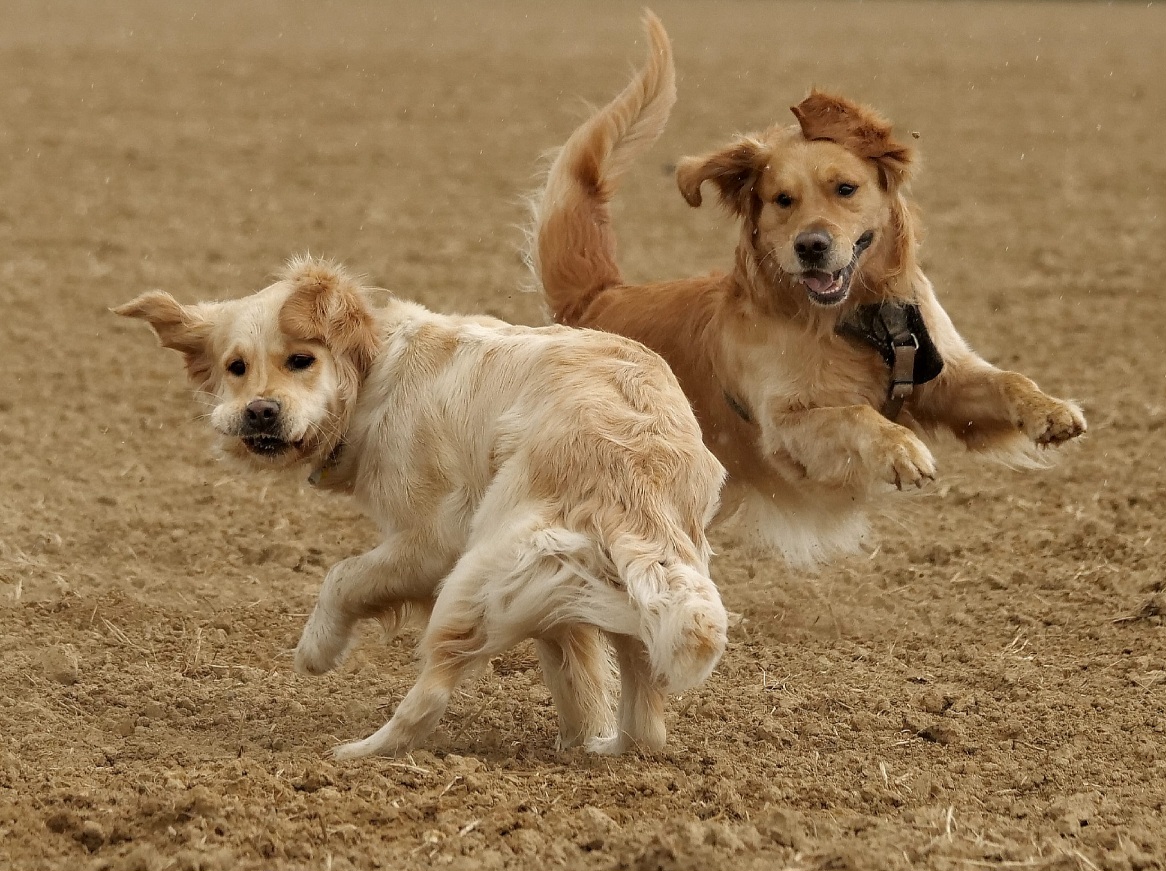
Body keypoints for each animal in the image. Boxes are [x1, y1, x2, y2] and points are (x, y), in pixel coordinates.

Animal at [113, 255, 722, 760]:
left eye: (301, 359)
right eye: (235, 367)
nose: (260, 412)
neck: (374, 372)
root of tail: (636, 464)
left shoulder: (430, 545)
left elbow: (342, 577)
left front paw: (316, 650)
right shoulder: (553, 593)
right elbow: (577, 672)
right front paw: (576, 739)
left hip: (472, 584)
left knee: (427, 698)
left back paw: (358, 752)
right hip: (617, 594)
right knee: (646, 723)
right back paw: (606, 748)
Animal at [529, 15, 1082, 571]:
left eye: (846, 189)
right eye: (782, 200)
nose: (811, 246)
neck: (857, 319)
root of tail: (596, 299)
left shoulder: (943, 379)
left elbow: (1007, 379)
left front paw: (1050, 410)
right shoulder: (786, 432)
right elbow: (855, 413)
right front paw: (900, 450)